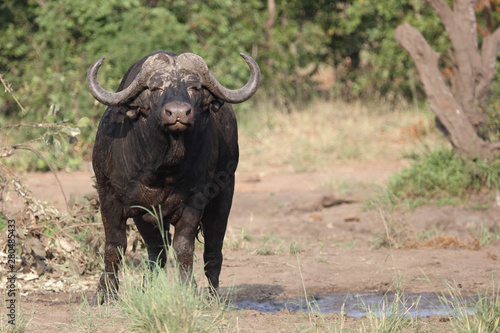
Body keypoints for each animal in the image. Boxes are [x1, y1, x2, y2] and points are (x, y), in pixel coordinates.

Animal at [86, 50, 260, 304]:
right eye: (155, 88)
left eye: (195, 87)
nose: (178, 113)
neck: (161, 168)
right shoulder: (109, 196)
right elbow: (114, 246)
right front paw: (106, 293)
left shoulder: (194, 203)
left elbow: (184, 247)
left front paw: (188, 289)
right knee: (156, 251)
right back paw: (145, 289)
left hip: (224, 196)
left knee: (213, 250)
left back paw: (214, 296)